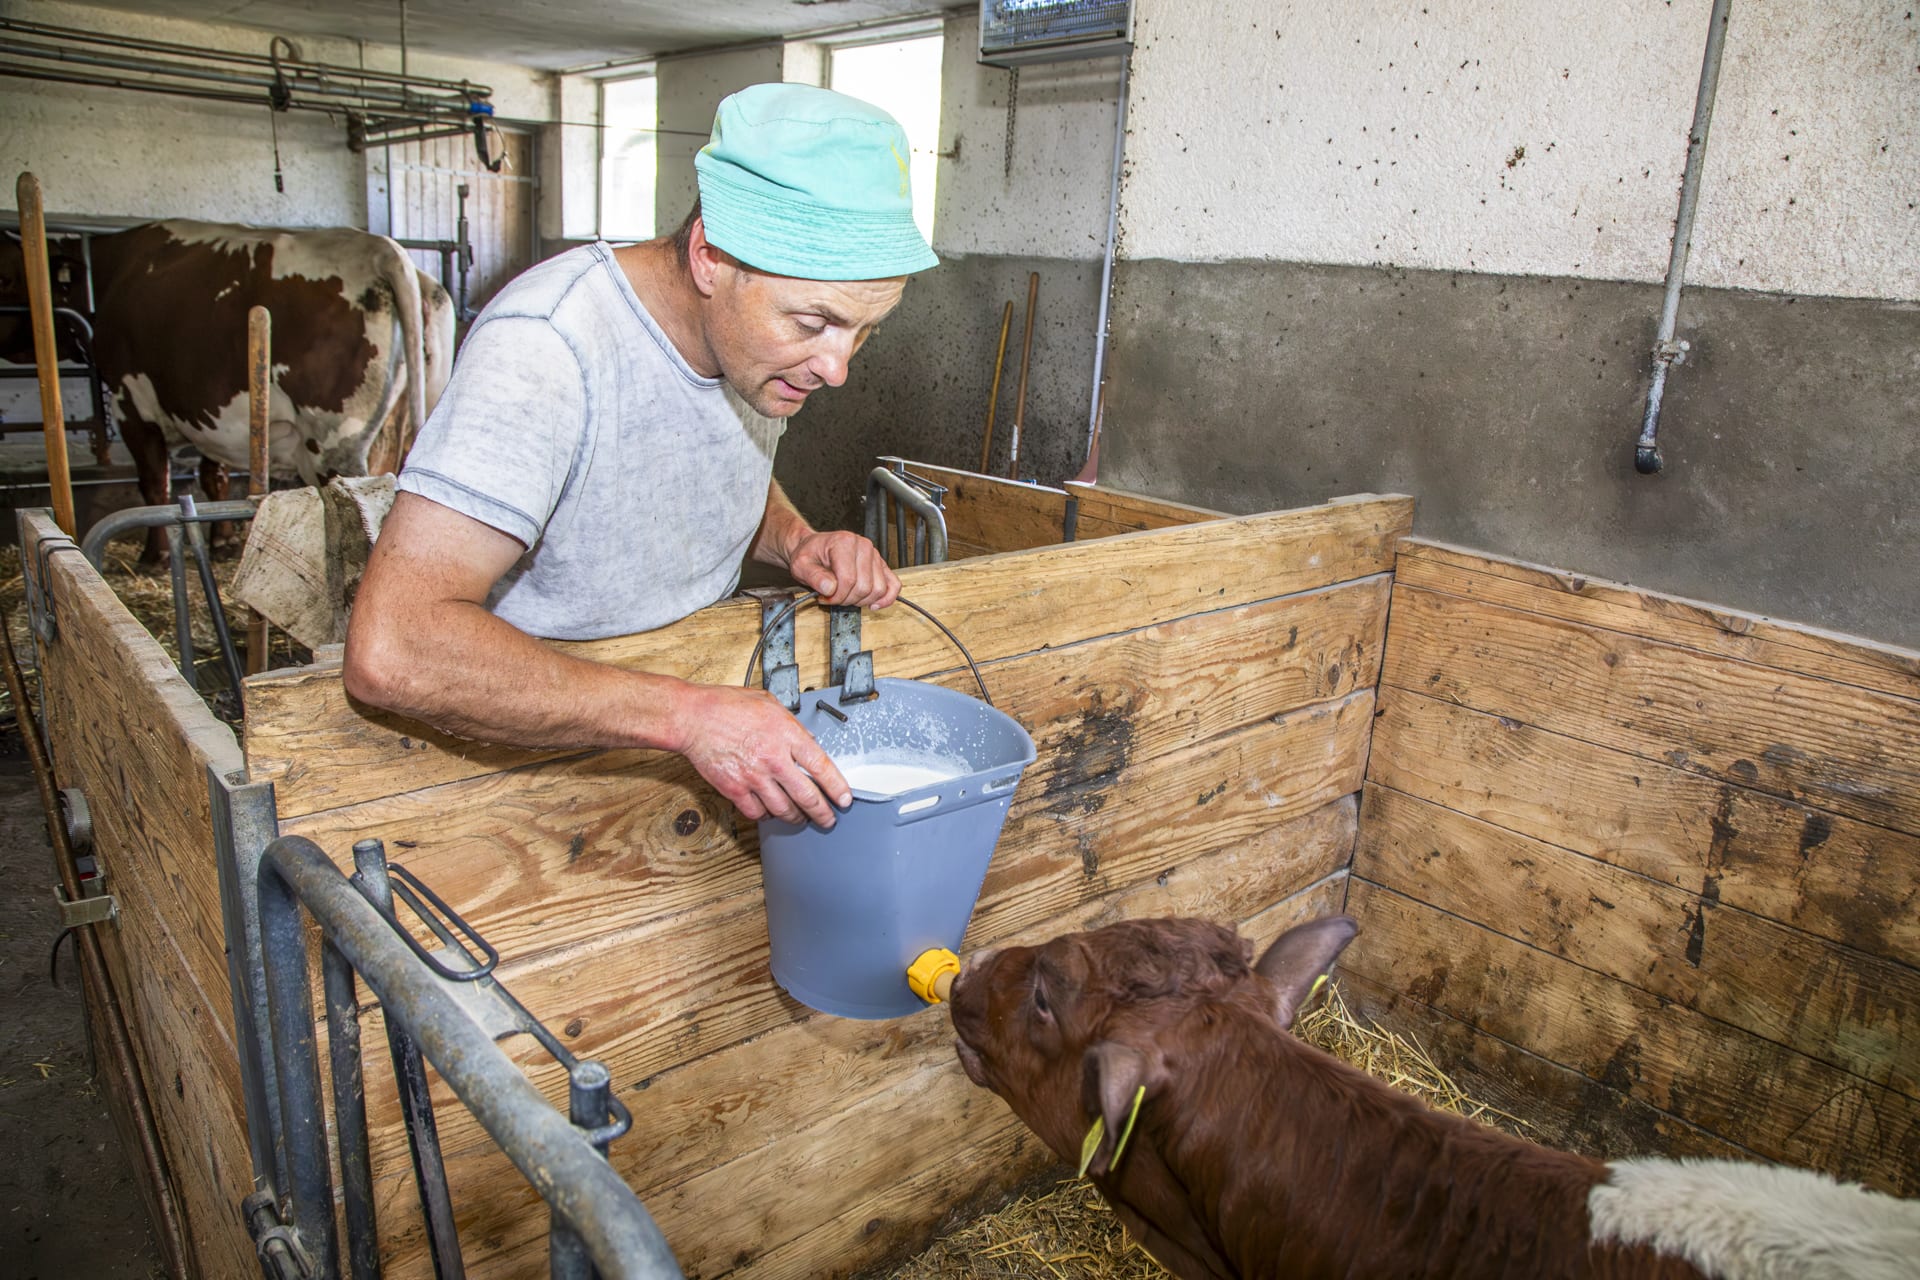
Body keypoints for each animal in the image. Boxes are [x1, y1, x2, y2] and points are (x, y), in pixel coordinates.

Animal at [0, 220, 454, 561]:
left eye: (8, 278)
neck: (112, 270)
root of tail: (383, 251)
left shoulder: (132, 400)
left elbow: (155, 481)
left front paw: (156, 554)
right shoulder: (210, 411)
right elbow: (213, 475)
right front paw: (222, 542)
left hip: (331, 440)